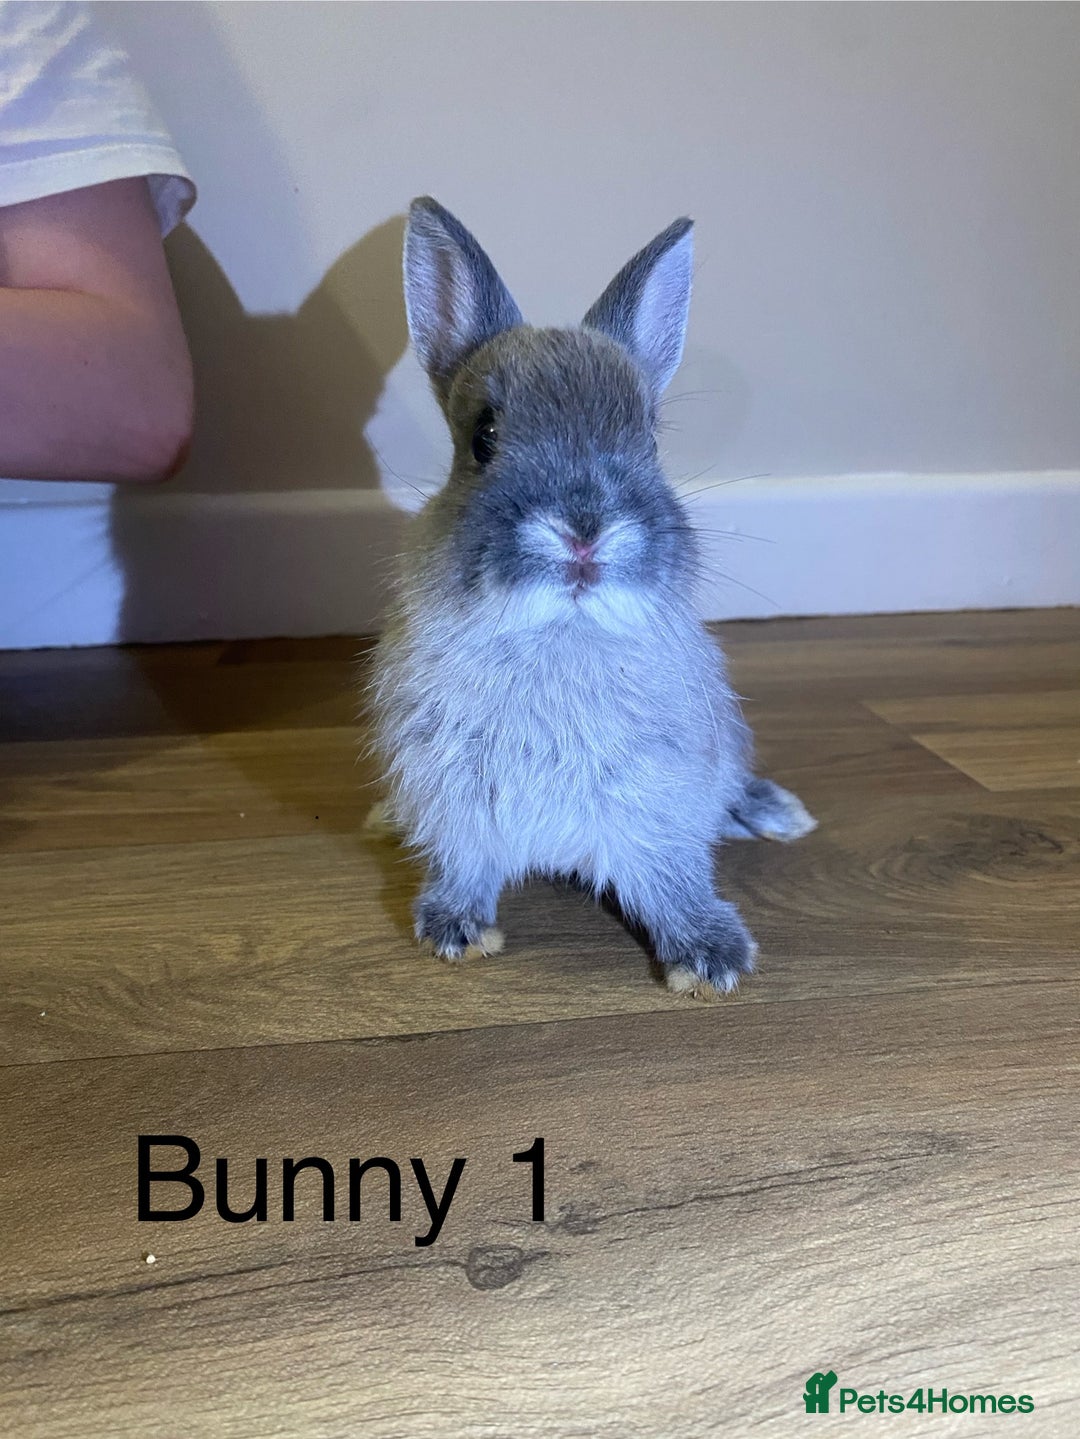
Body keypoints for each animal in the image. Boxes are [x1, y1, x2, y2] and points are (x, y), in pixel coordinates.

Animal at [367, 197, 816, 997]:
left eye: (650, 440)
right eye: (483, 437)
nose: (583, 529)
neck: (560, 630)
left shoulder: (657, 801)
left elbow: (672, 878)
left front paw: (710, 960)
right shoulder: (455, 800)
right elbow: (463, 864)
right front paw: (456, 931)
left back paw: (775, 813)